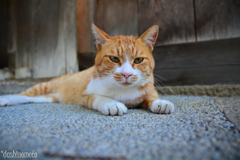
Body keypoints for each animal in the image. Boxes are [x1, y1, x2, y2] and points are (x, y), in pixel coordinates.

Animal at [0, 23, 173, 115]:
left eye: (138, 60)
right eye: (114, 59)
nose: (126, 74)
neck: (124, 92)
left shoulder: (148, 90)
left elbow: (152, 97)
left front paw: (160, 102)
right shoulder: (86, 95)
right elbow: (99, 97)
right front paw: (112, 104)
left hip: (49, 98)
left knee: (32, 99)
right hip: (45, 86)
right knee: (23, 95)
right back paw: (6, 99)